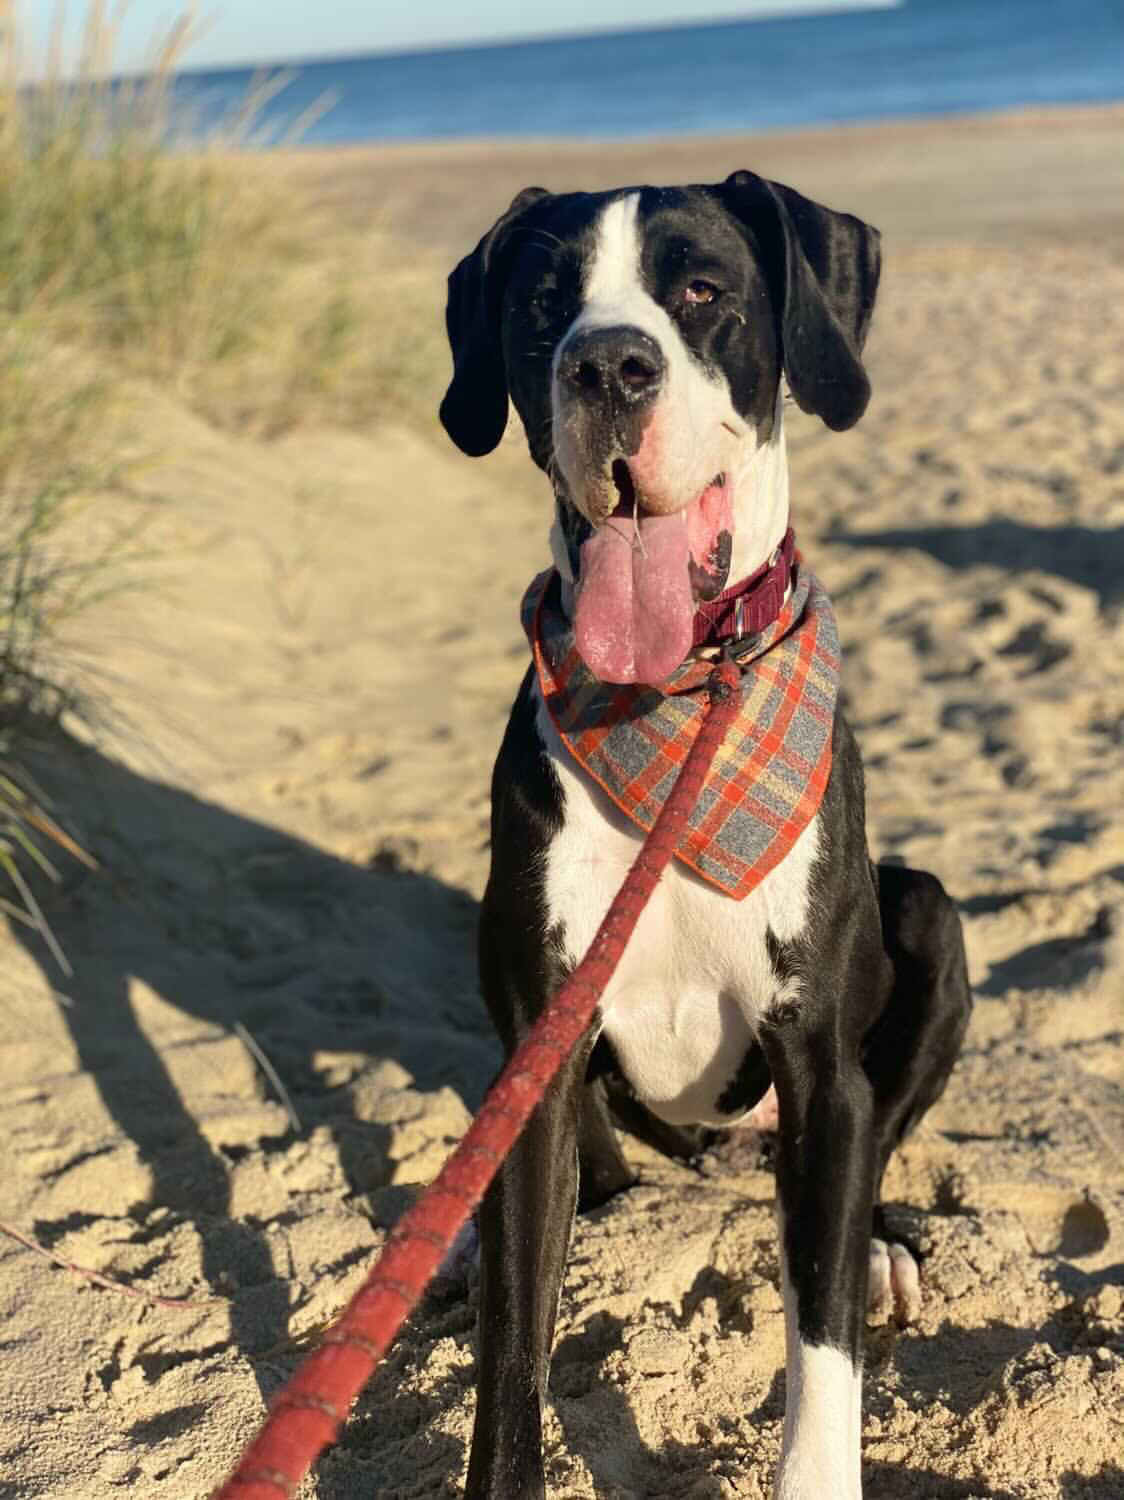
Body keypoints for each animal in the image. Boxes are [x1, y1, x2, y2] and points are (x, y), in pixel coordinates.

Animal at [435, 178, 966, 1500]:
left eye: (700, 291)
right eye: (542, 301)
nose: (606, 367)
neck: (675, 707)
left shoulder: (818, 1063)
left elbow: (820, 1344)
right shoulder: (539, 1046)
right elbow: (513, 1348)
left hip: (927, 914)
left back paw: (879, 1246)